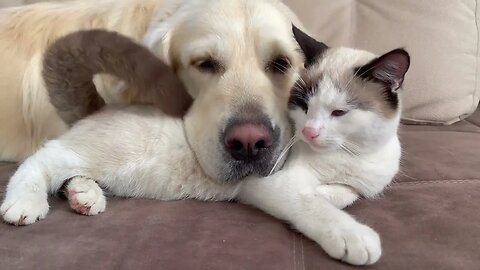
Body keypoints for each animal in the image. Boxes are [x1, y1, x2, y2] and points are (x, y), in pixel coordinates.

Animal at [0, 27, 410, 266]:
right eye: (303, 104)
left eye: (339, 112)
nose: (308, 132)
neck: (353, 156)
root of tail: (104, 105)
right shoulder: (268, 182)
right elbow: (314, 205)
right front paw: (354, 237)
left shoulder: (356, 184)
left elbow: (344, 195)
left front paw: (334, 195)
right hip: (109, 153)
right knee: (42, 159)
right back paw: (25, 206)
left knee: (70, 172)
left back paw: (85, 197)